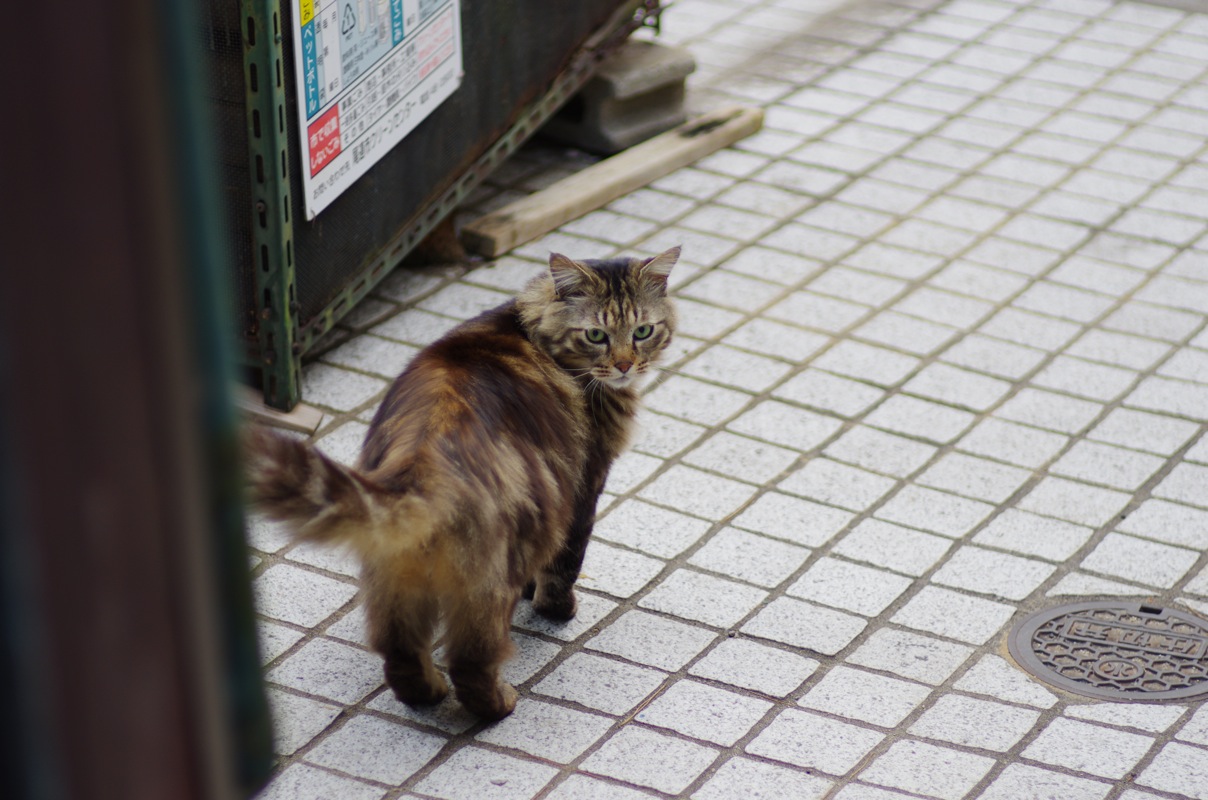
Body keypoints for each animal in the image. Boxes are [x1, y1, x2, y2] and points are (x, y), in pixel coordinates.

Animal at [242, 246, 681, 720]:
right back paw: (499, 705)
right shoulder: (584, 484)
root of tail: (422, 466)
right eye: (596, 335)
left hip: (394, 581)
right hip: (491, 577)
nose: (624, 364)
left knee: (400, 655)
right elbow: (565, 564)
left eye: (642, 331)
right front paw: (558, 609)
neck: (531, 329)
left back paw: (429, 694)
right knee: (471, 662)